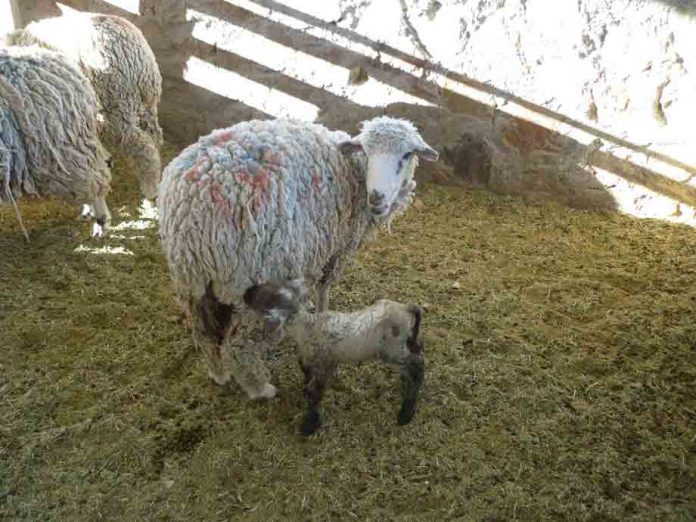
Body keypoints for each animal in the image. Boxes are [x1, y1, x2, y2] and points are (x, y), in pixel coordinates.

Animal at [10, 8, 163, 204]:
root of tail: (139, 58)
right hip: (145, 103)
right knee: (155, 136)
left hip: (116, 105)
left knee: (142, 145)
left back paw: (150, 190)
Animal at [160, 115, 438, 398]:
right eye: (366, 151)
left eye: (406, 154)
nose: (377, 198)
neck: (353, 171)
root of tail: (193, 207)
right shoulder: (337, 247)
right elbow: (325, 286)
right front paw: (323, 313)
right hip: (251, 281)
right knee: (239, 346)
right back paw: (260, 388)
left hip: (192, 283)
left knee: (204, 334)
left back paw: (218, 374)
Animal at [242, 278, 424, 432]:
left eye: (261, 299)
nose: (246, 292)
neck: (307, 326)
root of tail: (407, 308)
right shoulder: (310, 358)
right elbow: (306, 371)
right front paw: (305, 389)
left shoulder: (326, 364)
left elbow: (316, 392)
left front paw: (310, 425)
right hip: (405, 341)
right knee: (418, 350)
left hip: (395, 350)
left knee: (416, 364)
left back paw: (406, 412)